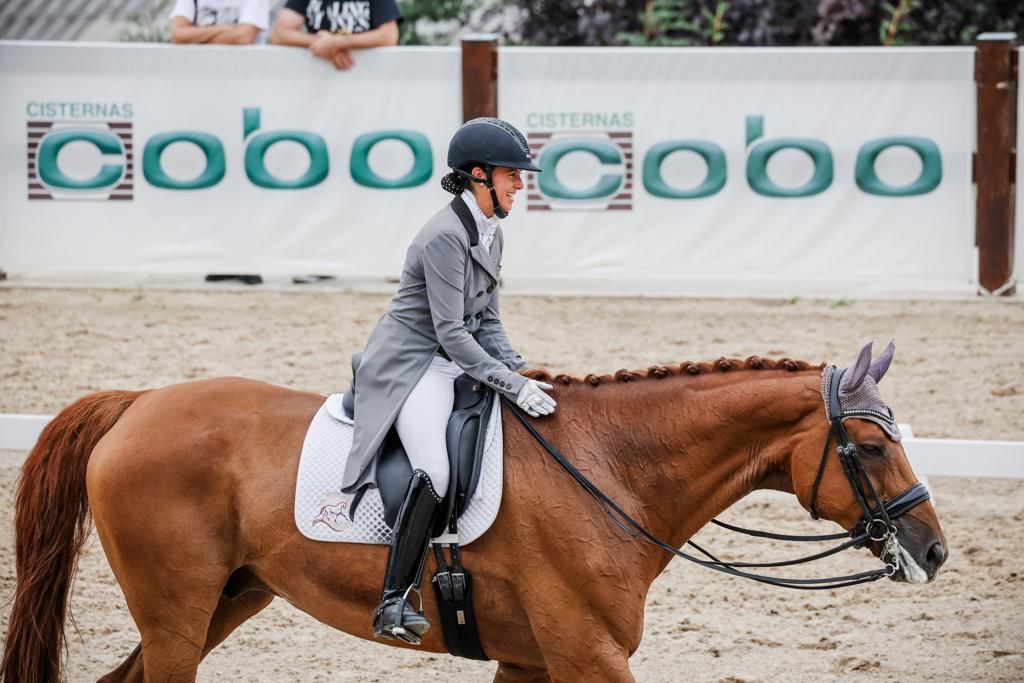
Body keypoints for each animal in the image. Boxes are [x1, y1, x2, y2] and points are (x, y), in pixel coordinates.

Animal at [0, 348, 946, 683]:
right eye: (870, 447)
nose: (933, 550)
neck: (612, 468)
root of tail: (138, 402)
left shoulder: (531, 660)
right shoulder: (588, 654)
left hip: (226, 599)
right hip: (178, 612)